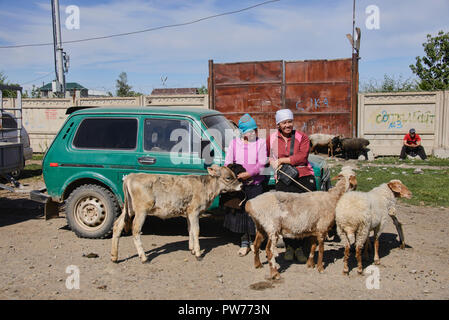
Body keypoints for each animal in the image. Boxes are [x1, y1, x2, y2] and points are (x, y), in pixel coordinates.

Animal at [110, 165, 240, 262]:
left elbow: (190, 230)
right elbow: (196, 231)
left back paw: (114, 257)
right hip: (141, 211)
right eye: (228, 177)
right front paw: (198, 254)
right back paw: (143, 257)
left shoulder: (188, 212)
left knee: (117, 225)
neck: (205, 187)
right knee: (136, 229)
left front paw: (192, 249)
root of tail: (131, 176)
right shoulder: (194, 211)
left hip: (129, 209)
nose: (241, 185)